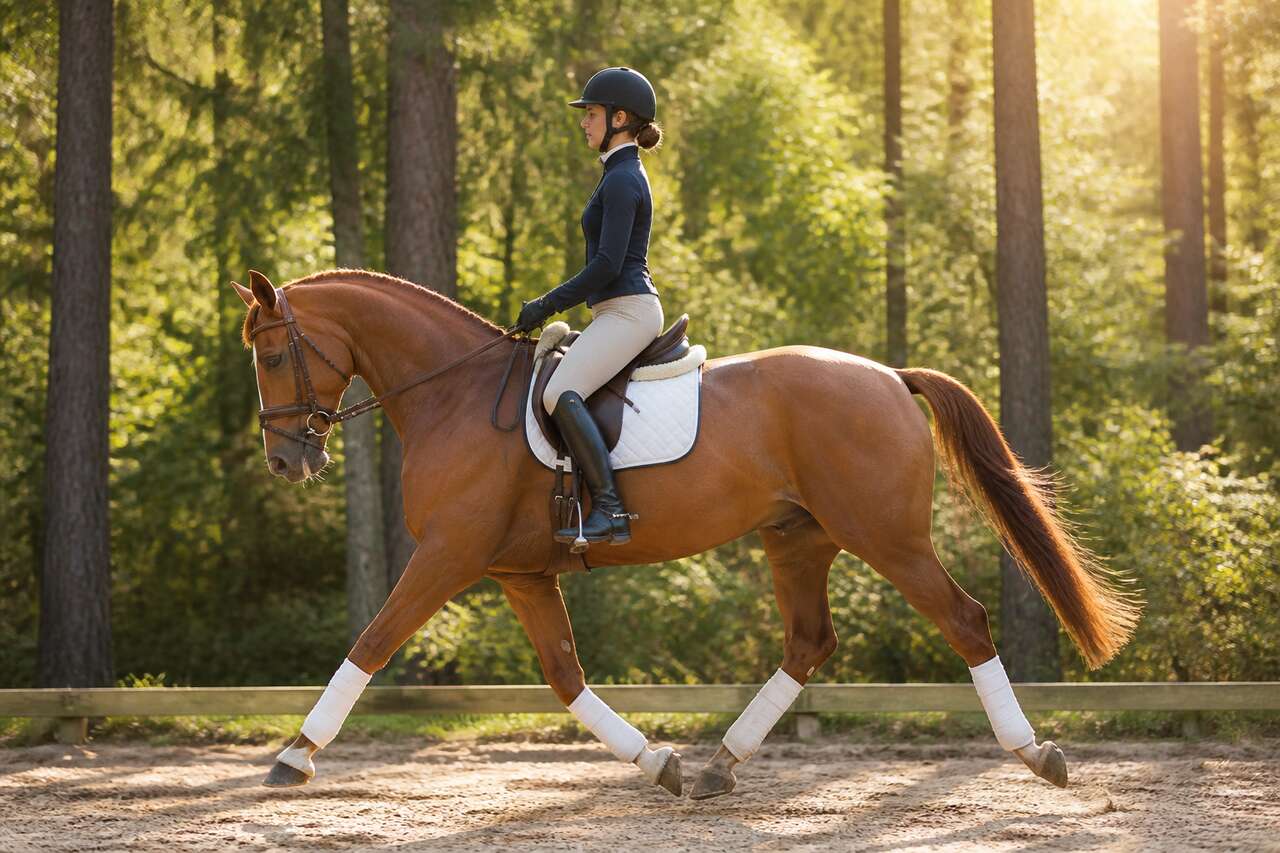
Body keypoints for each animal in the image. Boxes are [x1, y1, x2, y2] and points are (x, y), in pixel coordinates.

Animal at [233, 268, 1140, 799]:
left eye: (272, 354)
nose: (284, 459)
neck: (451, 393)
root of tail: (889, 375)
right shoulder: (519, 572)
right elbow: (565, 676)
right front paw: (658, 760)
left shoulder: (449, 554)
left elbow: (372, 641)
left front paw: (295, 753)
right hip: (798, 537)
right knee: (809, 642)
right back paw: (716, 765)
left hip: (886, 536)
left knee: (964, 620)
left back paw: (1037, 754)